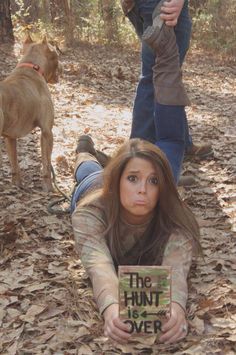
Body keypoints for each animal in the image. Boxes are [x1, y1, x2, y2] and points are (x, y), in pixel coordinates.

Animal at [0, 34, 59, 192]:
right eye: (56, 54)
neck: (32, 67)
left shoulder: (10, 137)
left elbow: (14, 164)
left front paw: (17, 185)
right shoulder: (47, 132)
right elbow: (46, 164)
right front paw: (49, 188)